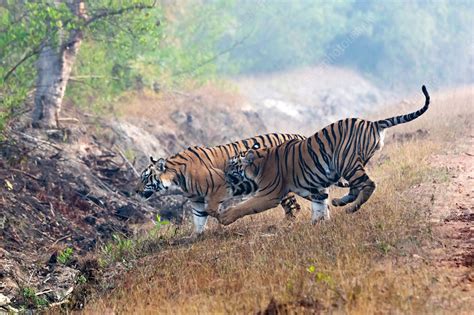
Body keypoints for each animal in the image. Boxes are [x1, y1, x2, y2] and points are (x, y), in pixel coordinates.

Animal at [135, 133, 306, 235]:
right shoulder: (196, 200)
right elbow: (198, 218)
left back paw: (284, 225)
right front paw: (195, 236)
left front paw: (222, 219)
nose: (135, 191)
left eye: (145, 178)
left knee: (293, 206)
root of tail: (297, 135)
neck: (176, 180)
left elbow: (210, 209)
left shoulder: (220, 186)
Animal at [218, 85, 430, 226]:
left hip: (346, 161)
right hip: (353, 163)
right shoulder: (315, 189)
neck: (258, 164)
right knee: (355, 187)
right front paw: (319, 224)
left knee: (369, 184)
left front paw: (225, 217)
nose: (223, 173)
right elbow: (320, 206)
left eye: (232, 165)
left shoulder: (269, 194)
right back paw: (340, 202)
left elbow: (246, 206)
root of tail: (373, 123)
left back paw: (351, 208)